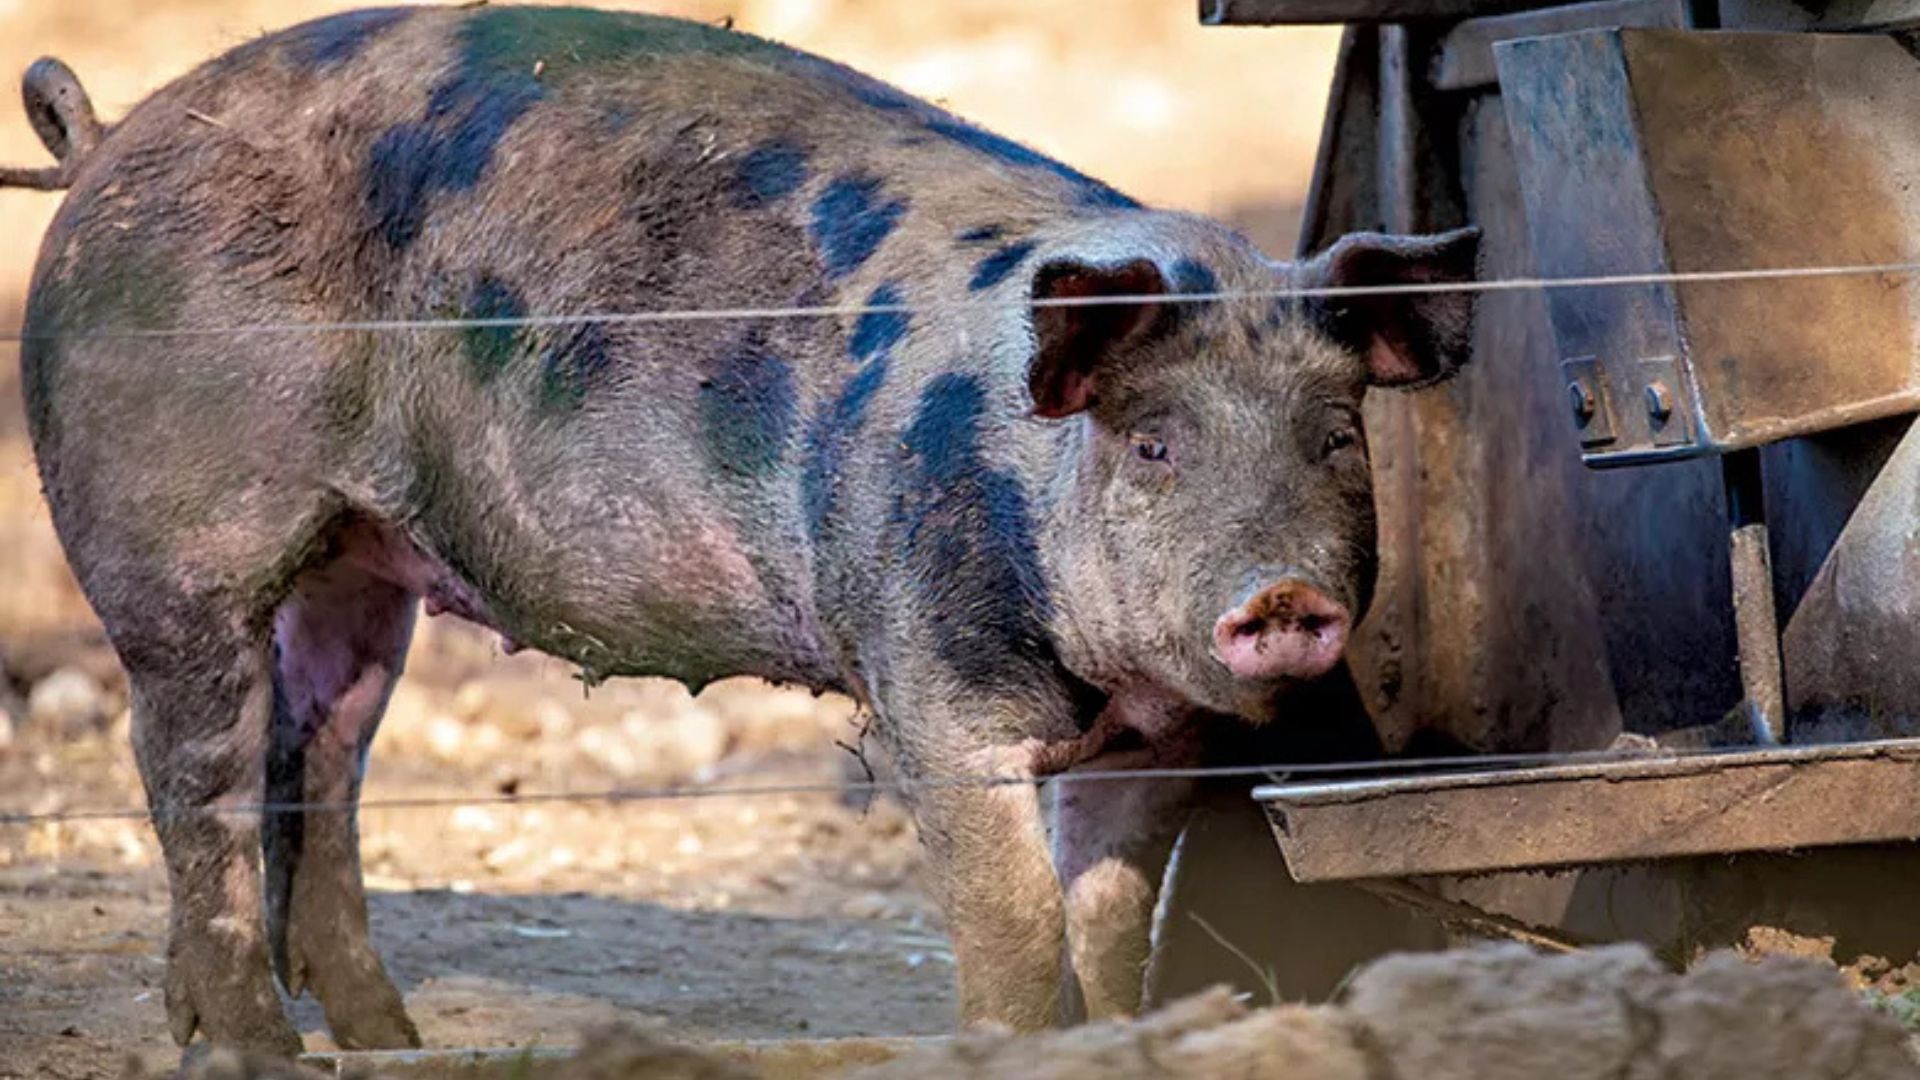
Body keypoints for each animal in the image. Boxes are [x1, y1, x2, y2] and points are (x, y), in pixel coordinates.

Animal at [2, 5, 1478, 1055]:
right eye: (1156, 445)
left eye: (1333, 439)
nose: (1283, 598)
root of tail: (106, 143)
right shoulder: (934, 691)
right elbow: (1011, 924)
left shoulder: (1165, 743)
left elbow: (1111, 925)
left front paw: (1121, 1037)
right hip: (176, 548)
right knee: (193, 777)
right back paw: (258, 1048)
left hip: (364, 567)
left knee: (323, 756)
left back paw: (387, 1038)